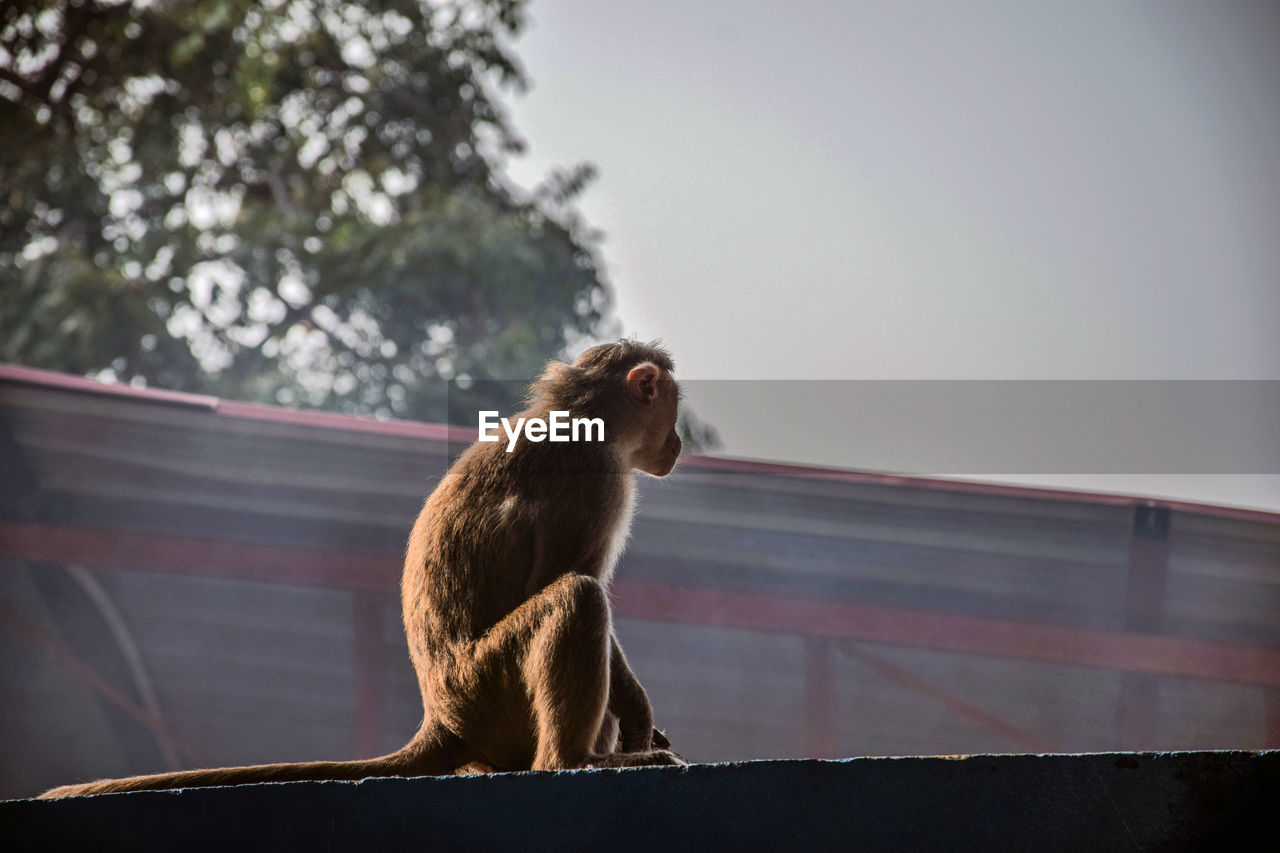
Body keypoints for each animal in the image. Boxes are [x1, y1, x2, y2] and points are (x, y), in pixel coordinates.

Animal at [40, 338, 686, 799]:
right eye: (672, 408)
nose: (678, 442)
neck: (580, 413)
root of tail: (444, 719)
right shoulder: (597, 484)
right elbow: (564, 577)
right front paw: (637, 718)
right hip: (490, 686)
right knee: (577, 597)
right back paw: (572, 761)